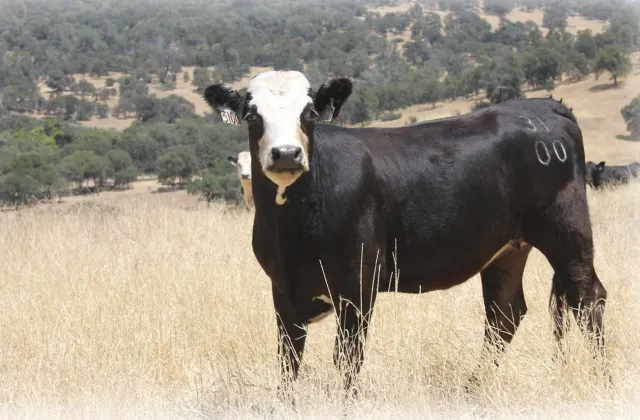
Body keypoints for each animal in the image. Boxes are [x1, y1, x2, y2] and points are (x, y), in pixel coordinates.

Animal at [203, 70, 607, 398]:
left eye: (310, 113)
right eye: (253, 115)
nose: (286, 153)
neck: (293, 231)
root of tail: (546, 106)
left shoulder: (358, 282)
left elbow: (348, 357)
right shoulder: (282, 287)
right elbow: (289, 359)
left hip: (566, 229)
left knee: (588, 297)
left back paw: (599, 376)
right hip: (507, 247)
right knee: (504, 313)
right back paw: (473, 388)